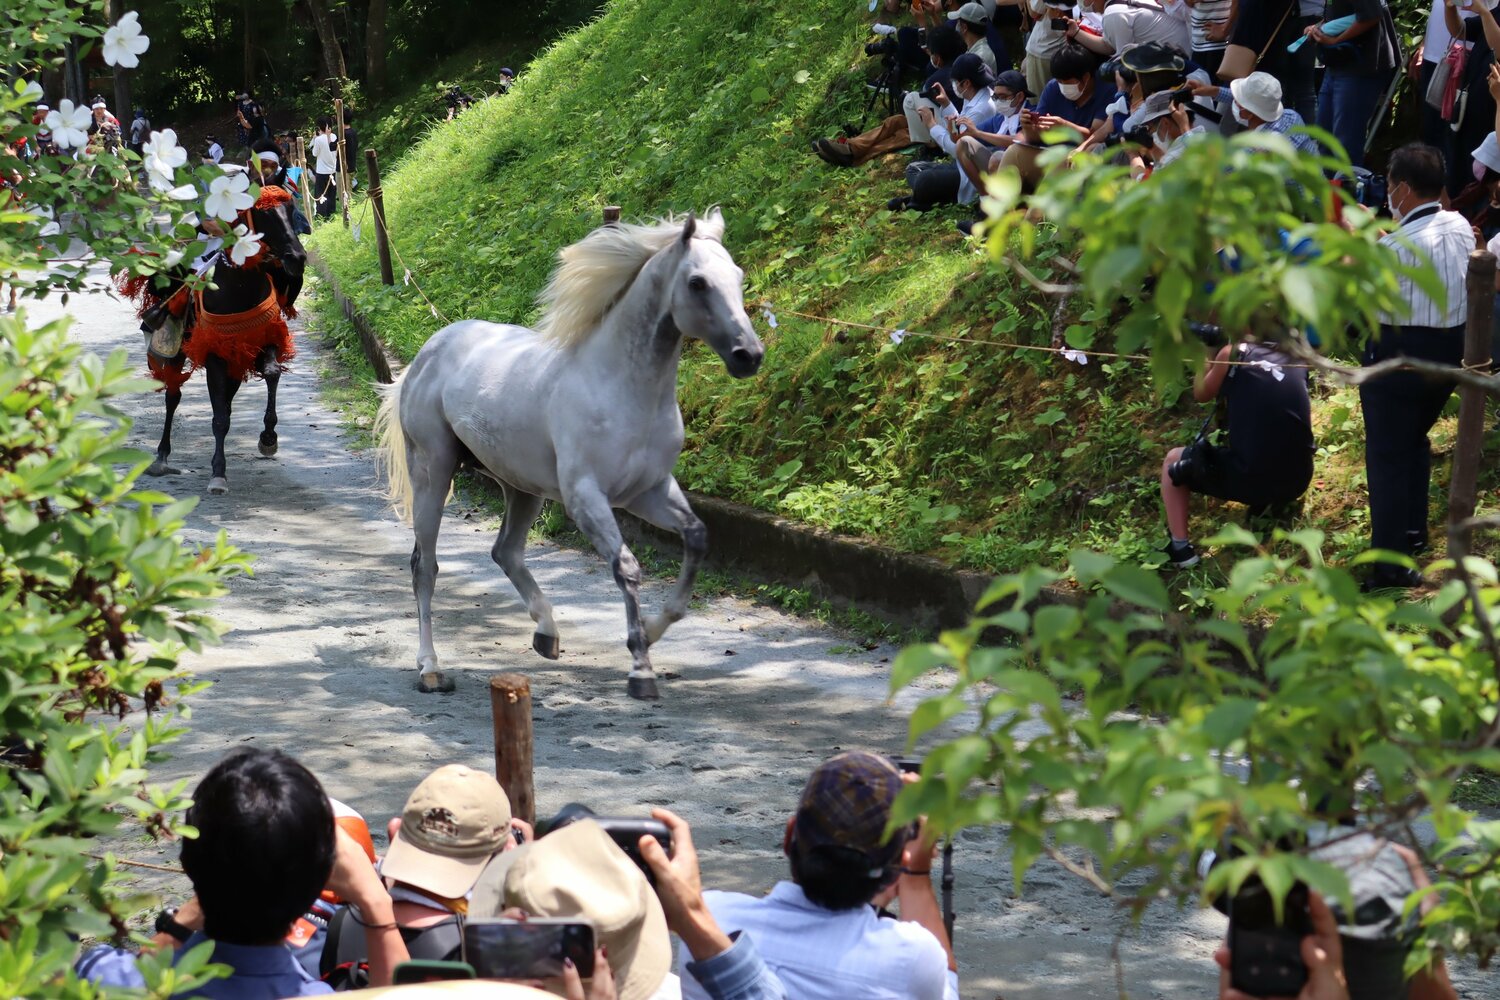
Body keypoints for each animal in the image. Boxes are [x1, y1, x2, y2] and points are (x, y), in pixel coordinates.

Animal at [118, 185, 307, 495]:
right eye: (263, 215)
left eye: (291, 211)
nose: (297, 258)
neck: (239, 287)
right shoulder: (214, 353)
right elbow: (219, 417)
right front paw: (218, 473)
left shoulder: (260, 340)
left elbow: (271, 372)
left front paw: (268, 437)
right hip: (177, 349)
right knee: (173, 395)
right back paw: (161, 456)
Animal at [374, 210, 764, 699]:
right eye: (697, 282)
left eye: (738, 276)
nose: (749, 355)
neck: (622, 388)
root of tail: (425, 354)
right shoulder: (586, 498)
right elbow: (627, 568)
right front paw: (640, 668)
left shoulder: (648, 492)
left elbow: (696, 538)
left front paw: (652, 632)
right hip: (433, 470)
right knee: (424, 566)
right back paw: (430, 667)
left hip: (521, 487)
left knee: (505, 552)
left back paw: (547, 633)